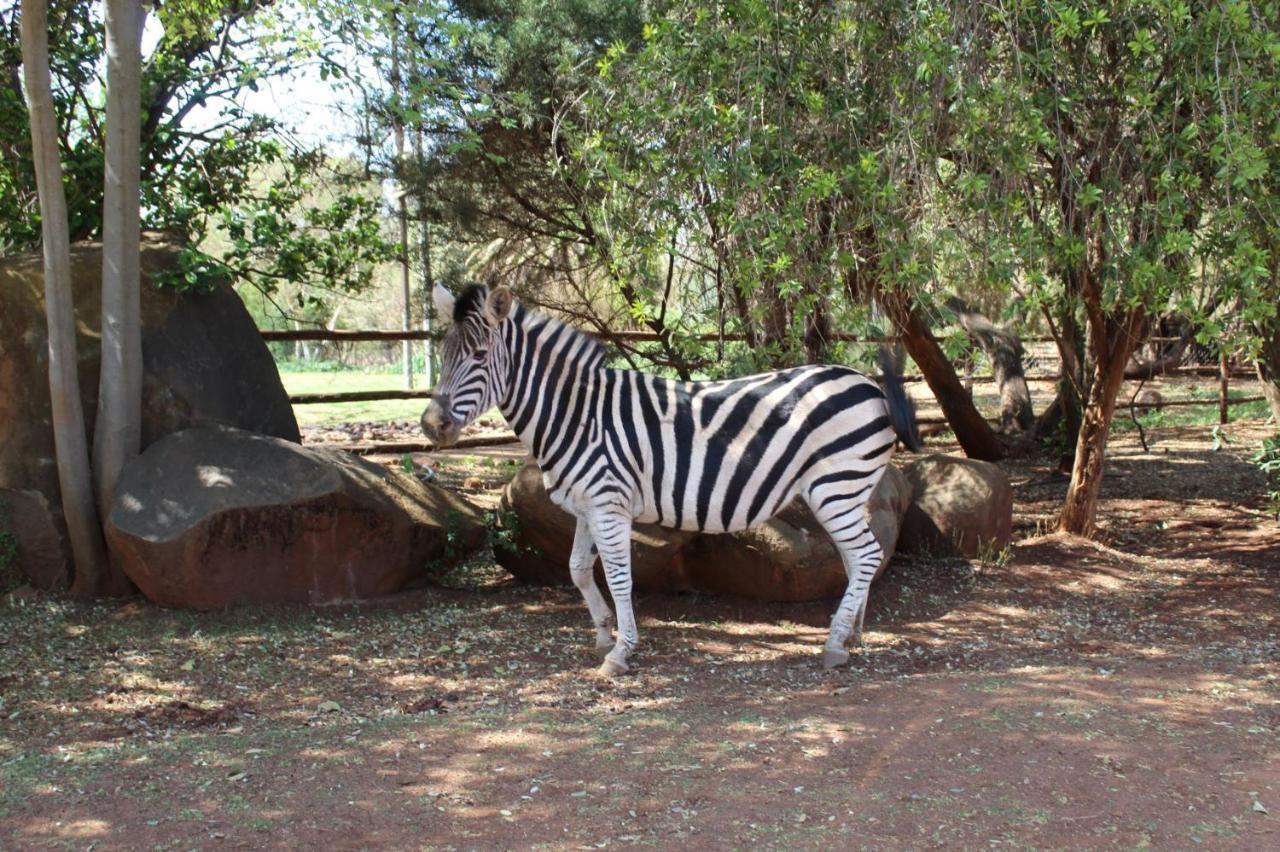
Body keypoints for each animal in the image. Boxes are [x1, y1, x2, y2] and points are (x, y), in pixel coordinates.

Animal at [422, 281, 921, 675]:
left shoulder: (608, 503)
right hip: (849, 490)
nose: (431, 425)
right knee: (860, 557)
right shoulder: (586, 505)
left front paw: (621, 651)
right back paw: (852, 634)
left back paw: (835, 643)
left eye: (479, 356)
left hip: (835, 486)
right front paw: (602, 633)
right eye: (442, 355)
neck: (577, 415)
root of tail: (867, 383)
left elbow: (618, 577)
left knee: (865, 554)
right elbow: (578, 569)